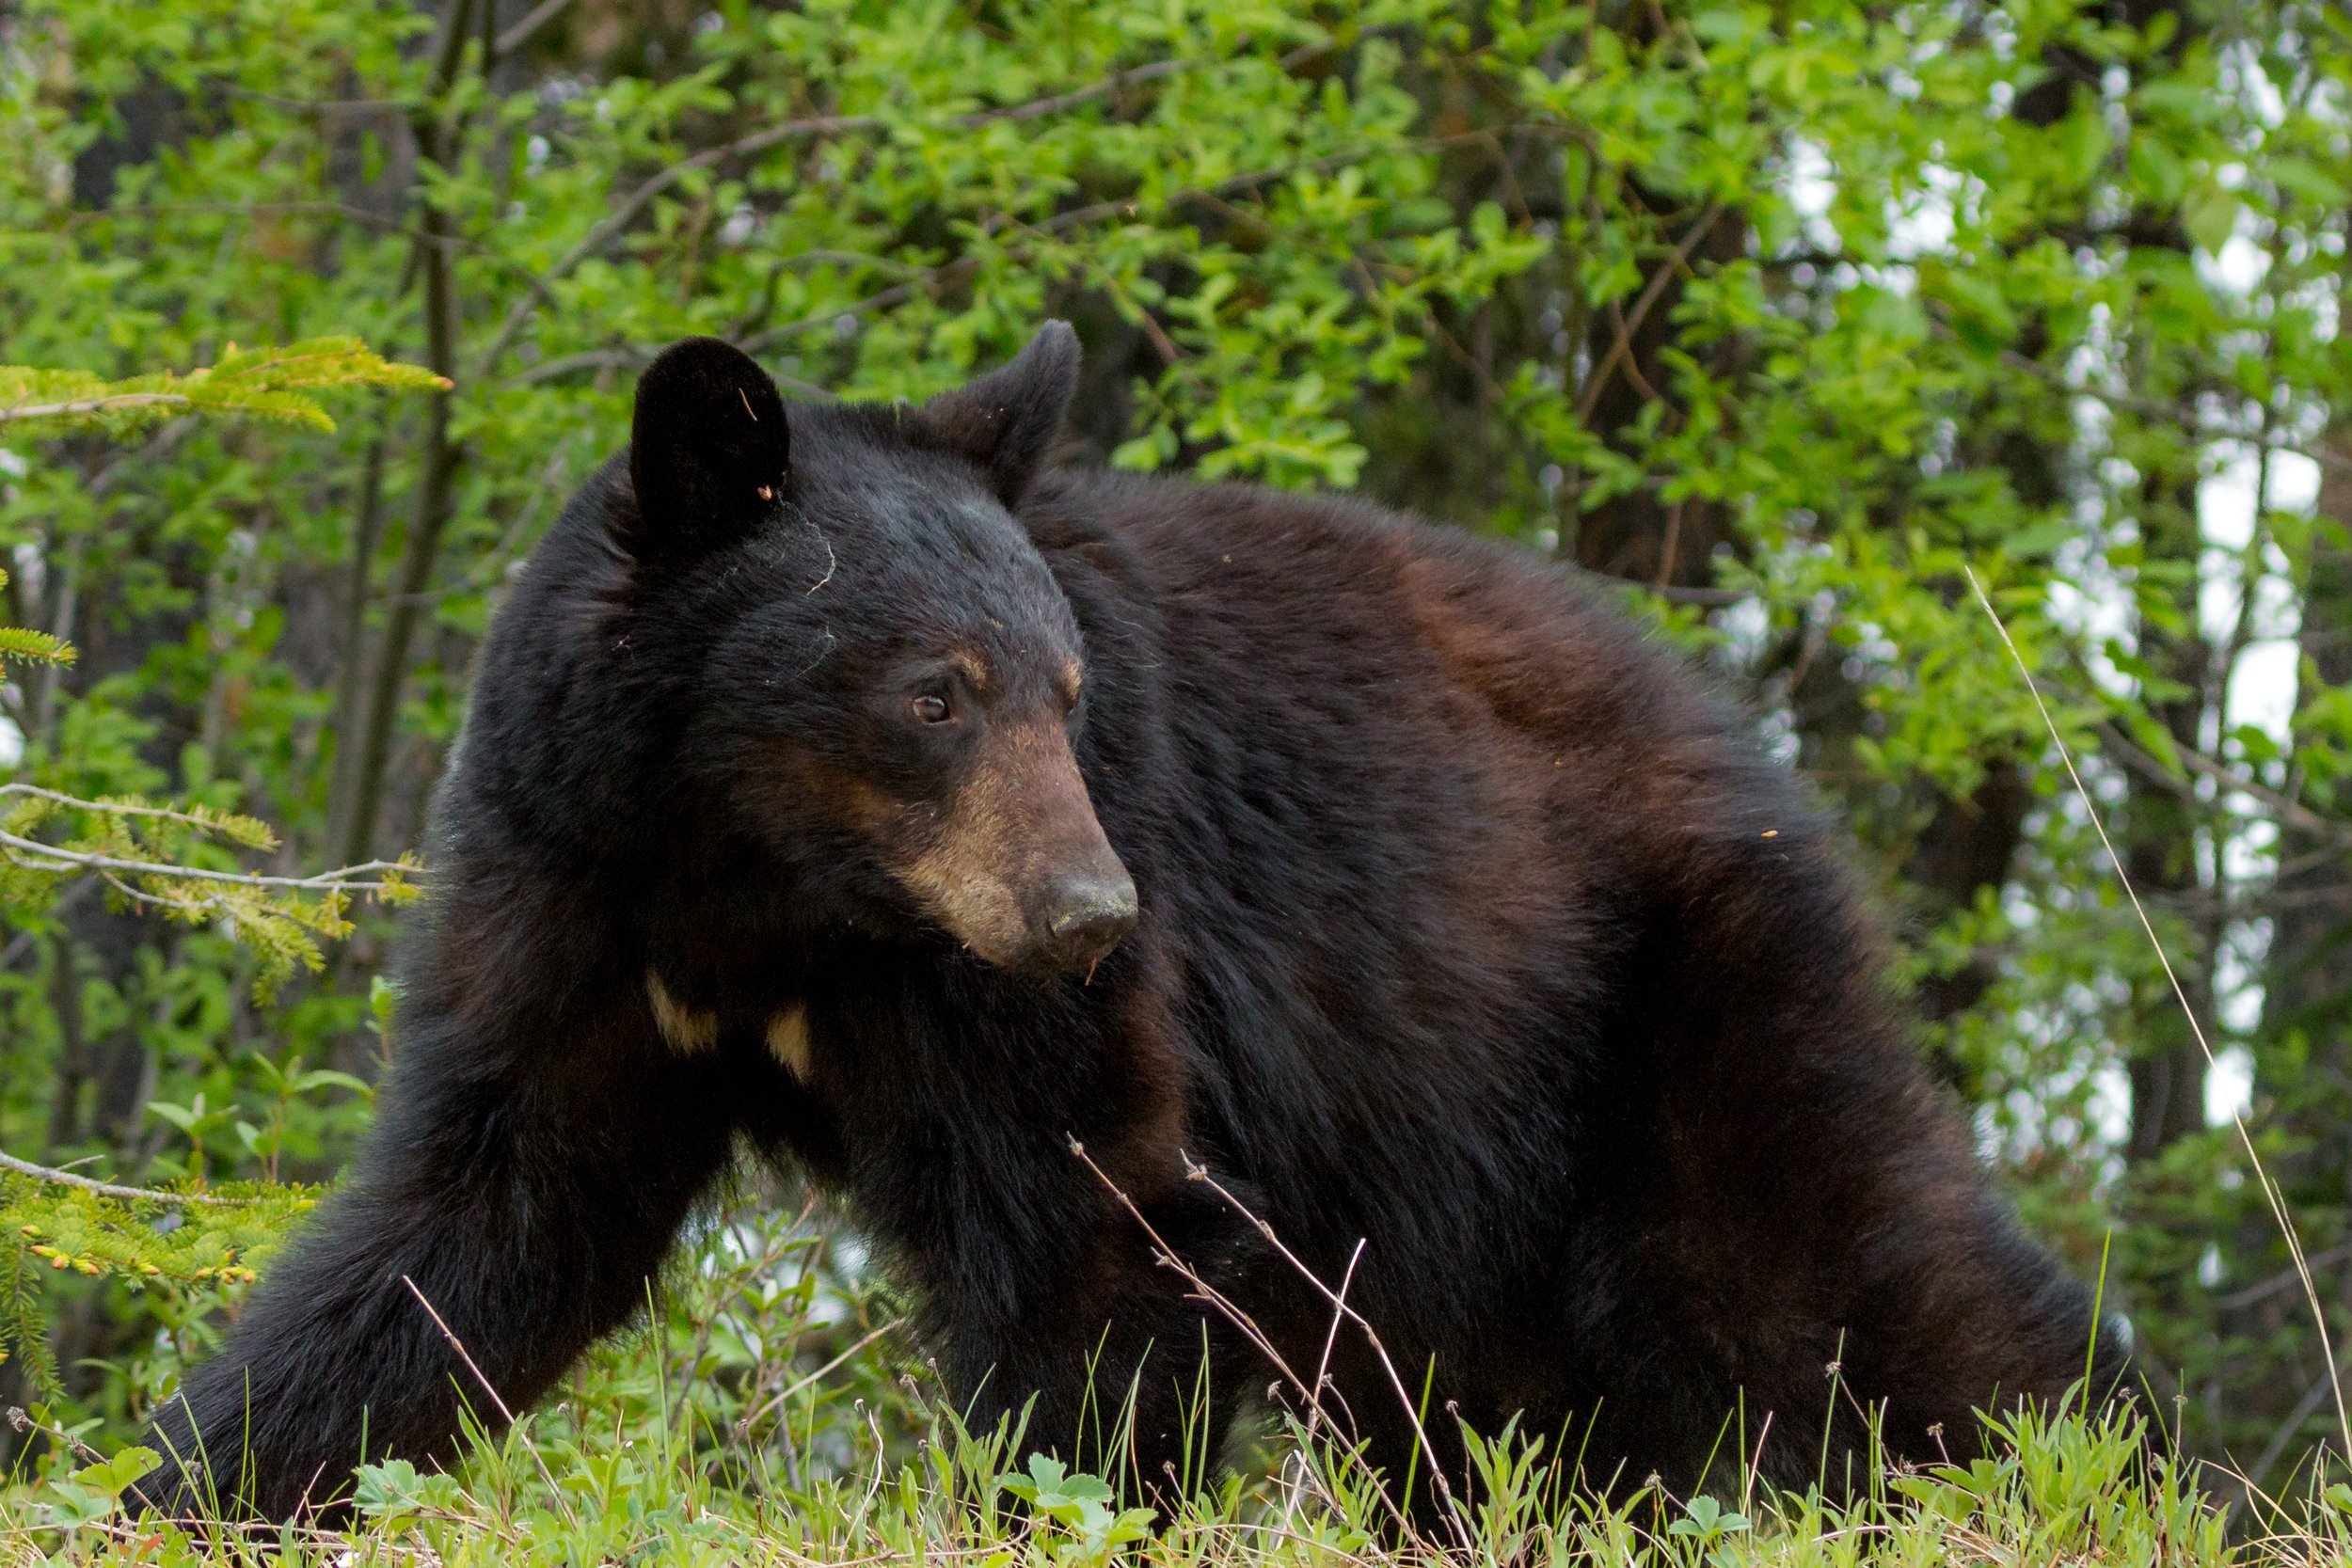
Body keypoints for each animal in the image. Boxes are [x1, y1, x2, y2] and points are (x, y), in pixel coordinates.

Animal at [138, 322, 2128, 1522]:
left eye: (1072, 691)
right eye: (936, 691)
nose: (1091, 908)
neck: (766, 892)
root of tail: (1739, 736)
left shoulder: (1004, 1000)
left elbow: (1093, 1232)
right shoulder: (576, 901)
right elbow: (470, 1223)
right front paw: (191, 1480)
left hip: (1653, 994)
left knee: (1840, 1271)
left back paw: (2096, 1459)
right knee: (1494, 1388)